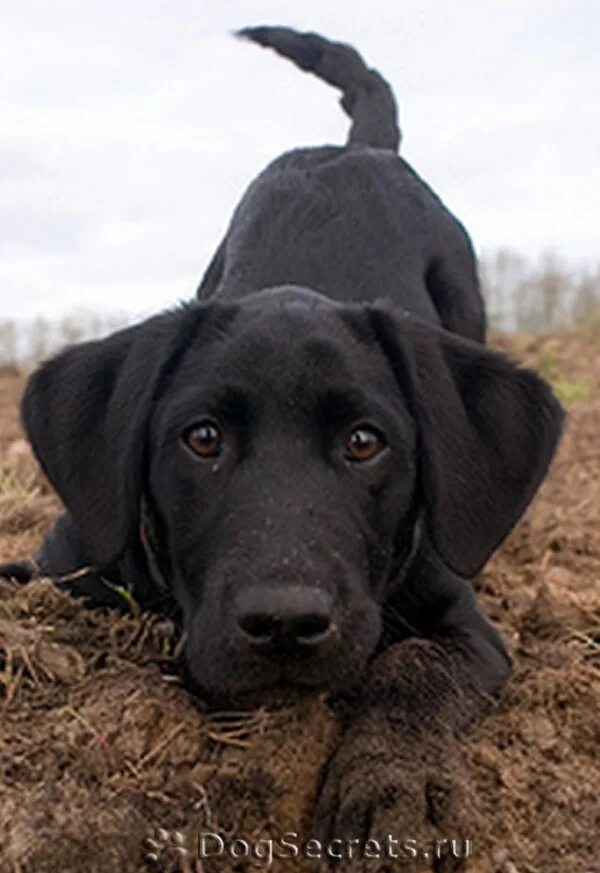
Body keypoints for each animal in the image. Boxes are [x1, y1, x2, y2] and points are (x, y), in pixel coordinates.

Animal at [1, 25, 564, 844]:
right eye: (203, 438)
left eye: (365, 442)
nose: (286, 624)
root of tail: (357, 149)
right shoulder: (60, 569)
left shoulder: (467, 628)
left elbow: (411, 670)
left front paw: (394, 782)